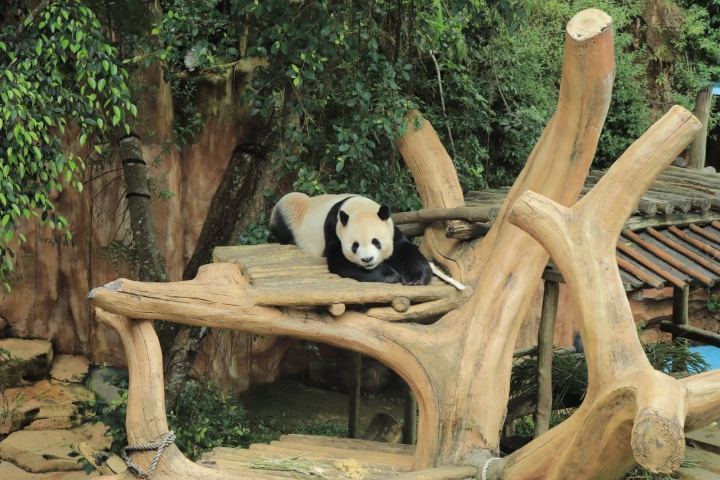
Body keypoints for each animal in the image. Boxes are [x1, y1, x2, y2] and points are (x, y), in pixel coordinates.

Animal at [270, 192, 465, 289]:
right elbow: (341, 261)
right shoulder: (334, 231)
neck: (357, 207)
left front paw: (413, 279)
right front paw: (390, 275)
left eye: (376, 242)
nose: (367, 260)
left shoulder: (390, 228)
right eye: (354, 246)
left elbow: (405, 251)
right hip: (292, 210)